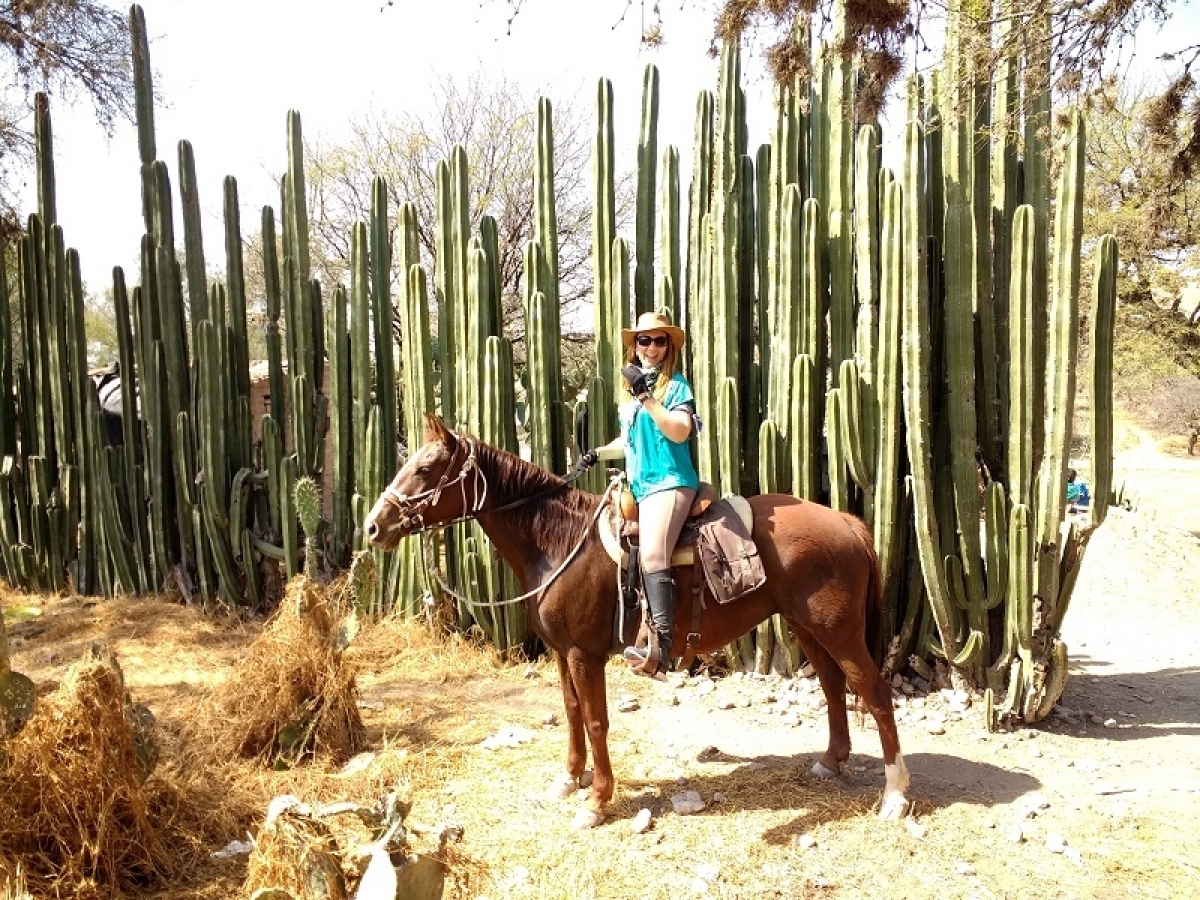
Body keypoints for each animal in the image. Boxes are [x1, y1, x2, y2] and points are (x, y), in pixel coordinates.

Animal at [364, 415, 910, 828]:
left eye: (426, 468)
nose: (373, 526)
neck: (560, 541)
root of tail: (847, 522)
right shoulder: (562, 653)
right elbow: (571, 714)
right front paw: (569, 779)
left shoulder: (584, 655)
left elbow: (597, 721)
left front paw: (597, 801)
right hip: (807, 628)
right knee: (834, 687)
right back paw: (831, 760)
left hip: (838, 632)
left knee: (875, 693)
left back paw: (896, 795)